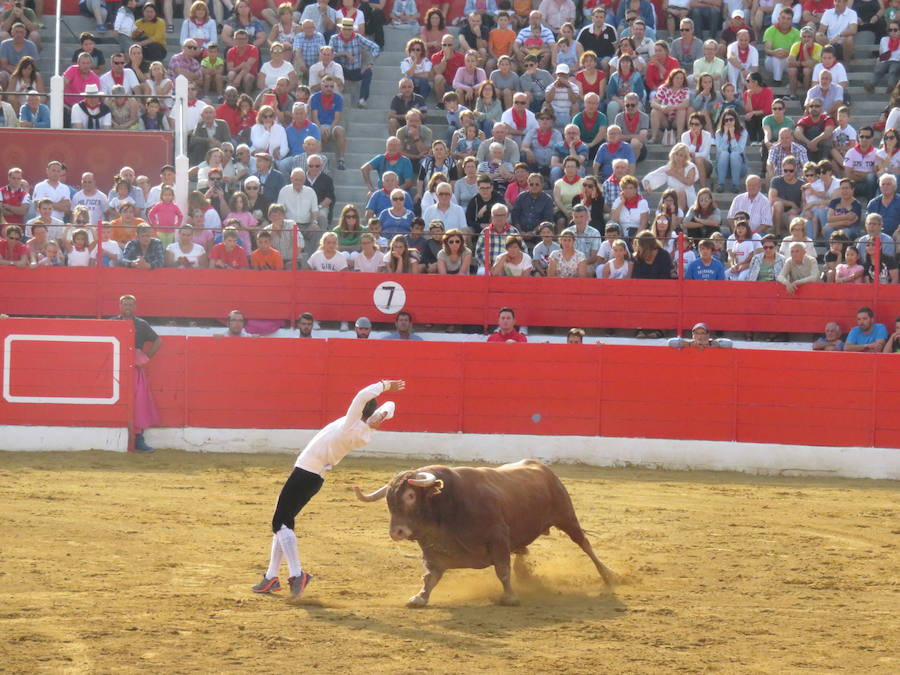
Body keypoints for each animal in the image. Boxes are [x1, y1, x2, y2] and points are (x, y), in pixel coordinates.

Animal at [356, 460, 616, 608]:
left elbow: (502, 569)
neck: (447, 505)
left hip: (567, 516)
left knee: (585, 544)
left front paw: (510, 598)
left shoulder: (498, 539)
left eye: (410, 495)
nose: (396, 532)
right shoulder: (432, 549)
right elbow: (430, 576)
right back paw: (525, 573)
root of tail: (543, 469)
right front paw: (420, 598)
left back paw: (608, 575)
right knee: (522, 548)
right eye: (389, 499)